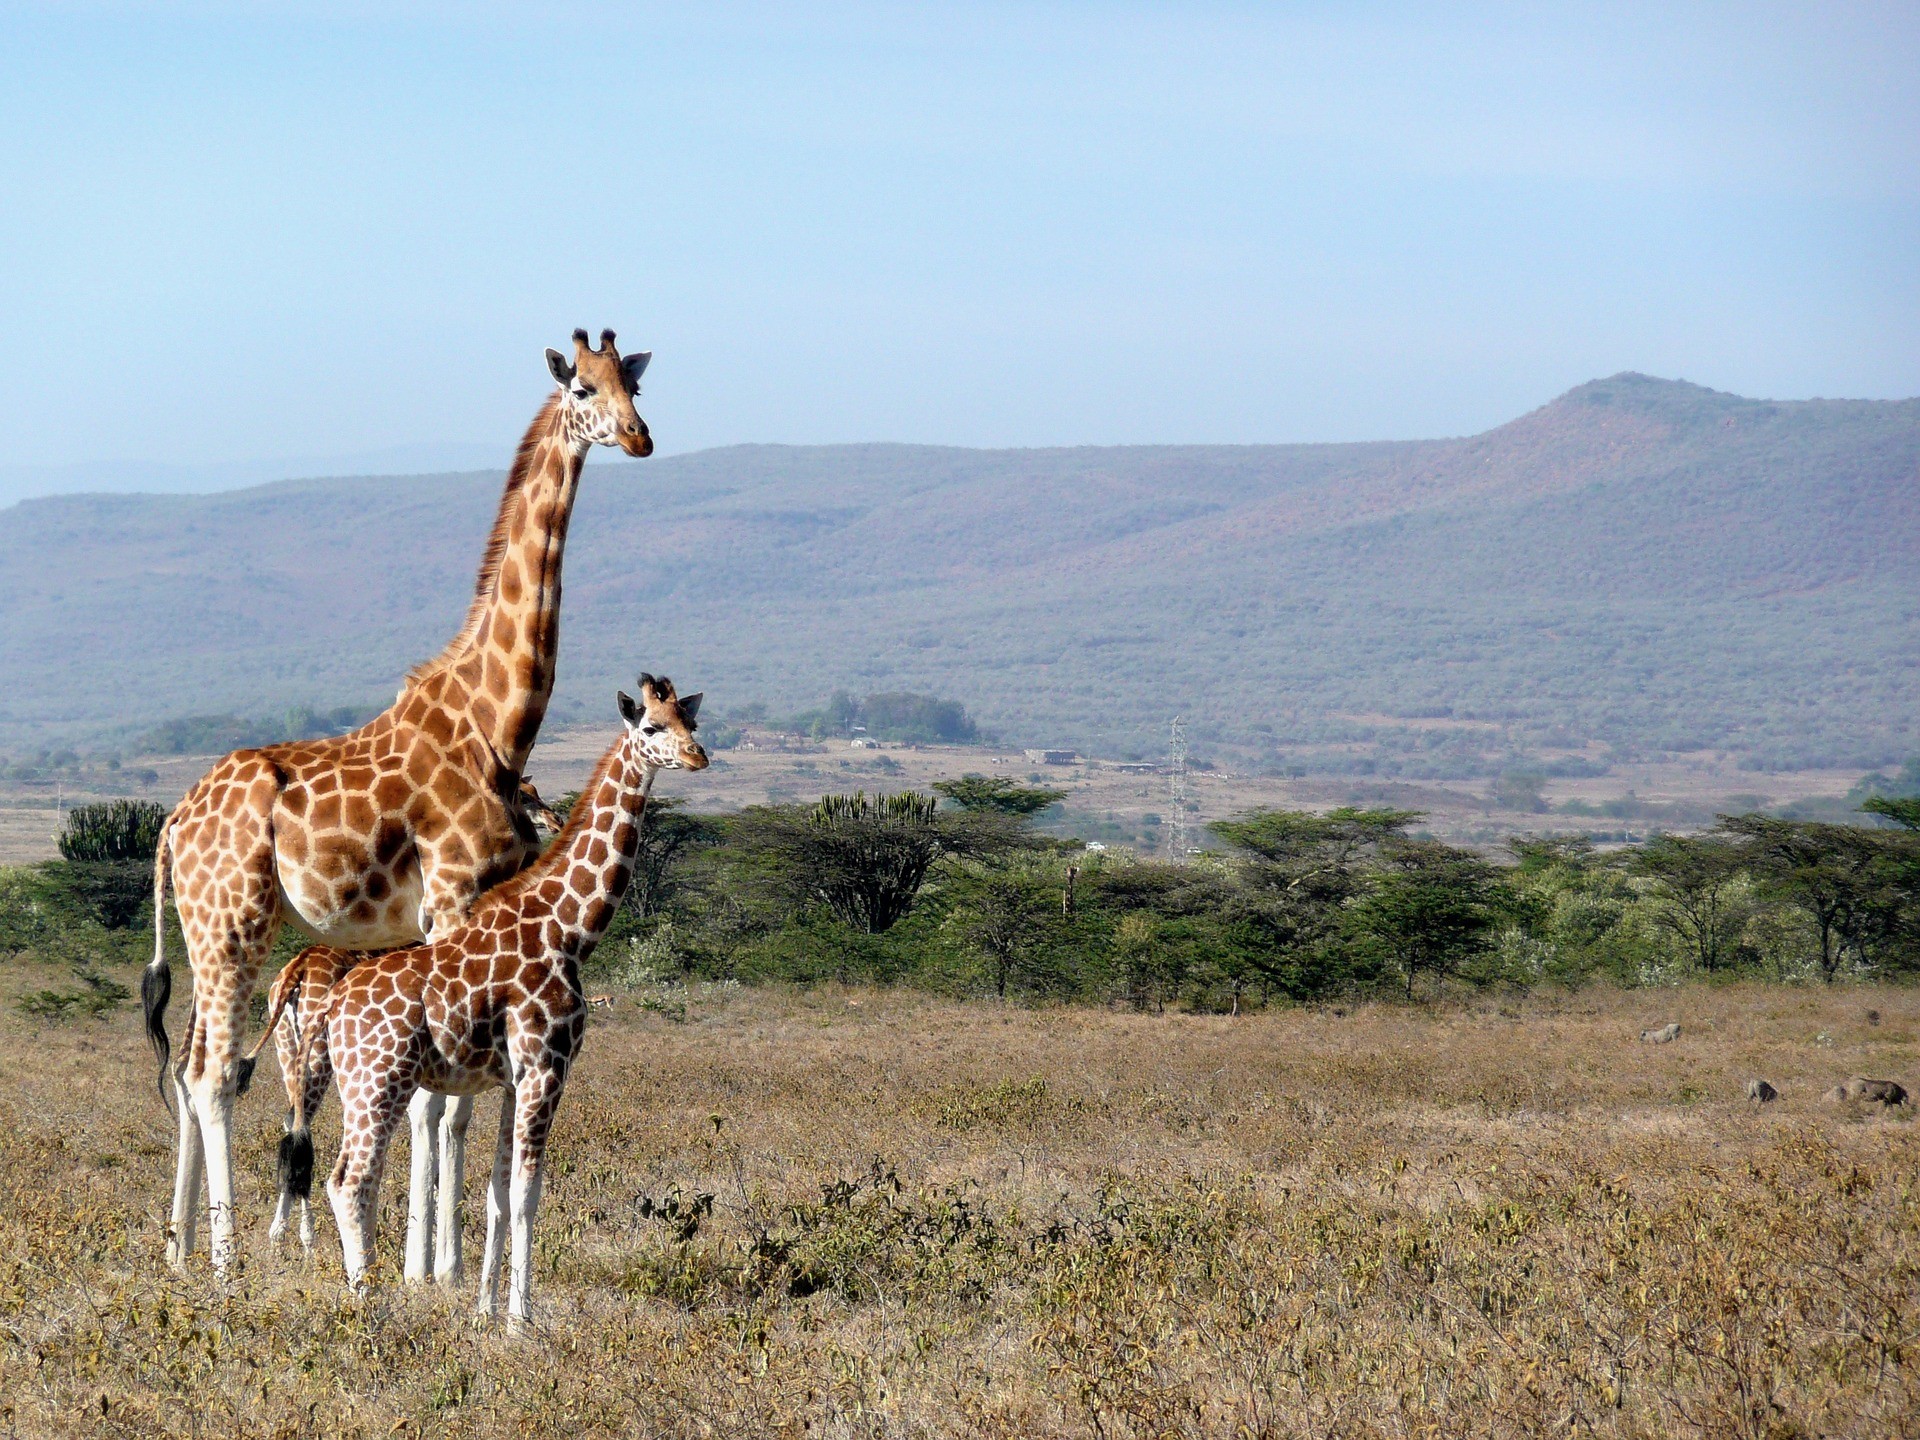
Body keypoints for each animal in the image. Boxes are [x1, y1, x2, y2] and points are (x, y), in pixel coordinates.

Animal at [251, 779, 560, 1259]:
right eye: (526, 795)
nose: (554, 821)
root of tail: (296, 972)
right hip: (318, 1058)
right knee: (304, 1127)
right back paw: (304, 1235)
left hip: (289, 1052)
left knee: (291, 1122)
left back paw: (283, 1232)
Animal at [284, 675, 706, 1328]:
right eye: (652, 727)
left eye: (693, 721)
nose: (698, 757)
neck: (568, 929)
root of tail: (331, 1007)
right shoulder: (545, 1067)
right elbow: (529, 1194)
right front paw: (520, 1321)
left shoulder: (513, 1078)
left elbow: (498, 1194)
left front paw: (486, 1311)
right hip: (378, 1081)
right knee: (350, 1180)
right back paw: (369, 1301)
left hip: (359, 1083)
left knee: (347, 1177)